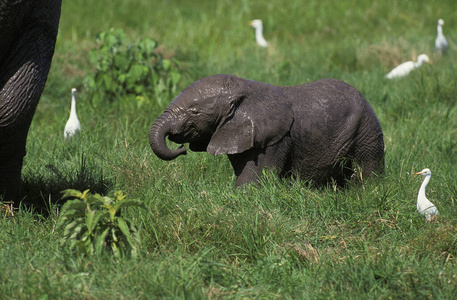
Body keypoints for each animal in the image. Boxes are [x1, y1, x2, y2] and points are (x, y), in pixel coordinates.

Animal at [149, 74, 382, 186]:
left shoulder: (275, 138)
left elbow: (254, 178)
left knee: (367, 164)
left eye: (194, 112)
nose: (181, 148)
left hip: (367, 127)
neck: (245, 88)